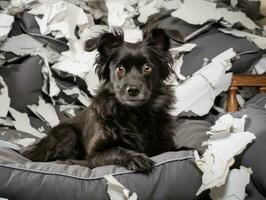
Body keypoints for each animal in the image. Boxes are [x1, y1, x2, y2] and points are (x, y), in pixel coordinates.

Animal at [22, 28, 177, 172]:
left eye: (147, 68)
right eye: (120, 69)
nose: (133, 90)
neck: (135, 114)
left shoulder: (167, 146)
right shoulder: (94, 155)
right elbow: (116, 150)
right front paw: (136, 157)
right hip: (67, 133)